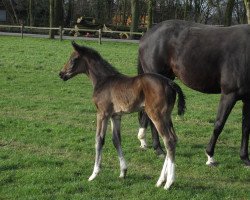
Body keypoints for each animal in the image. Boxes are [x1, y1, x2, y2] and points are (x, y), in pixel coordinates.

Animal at [59, 41, 186, 189]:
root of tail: (170, 83)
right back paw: (161, 180)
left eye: (73, 59)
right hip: (167, 116)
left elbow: (99, 139)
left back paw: (169, 182)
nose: (61, 74)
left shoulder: (102, 113)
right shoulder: (115, 116)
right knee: (174, 139)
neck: (103, 80)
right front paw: (123, 172)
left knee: (168, 140)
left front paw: (94, 174)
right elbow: (116, 140)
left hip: (156, 115)